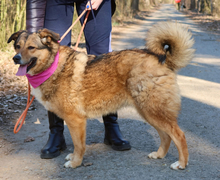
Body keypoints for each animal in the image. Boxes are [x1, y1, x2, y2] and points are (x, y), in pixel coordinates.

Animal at [8, 21, 194, 170]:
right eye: (18, 46)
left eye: (31, 47)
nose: (15, 58)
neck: (53, 66)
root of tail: (162, 60)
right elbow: (76, 144)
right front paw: (74, 158)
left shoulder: (75, 120)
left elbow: (79, 145)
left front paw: (75, 163)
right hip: (149, 113)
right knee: (166, 136)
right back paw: (159, 154)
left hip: (153, 110)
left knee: (179, 135)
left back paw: (181, 163)